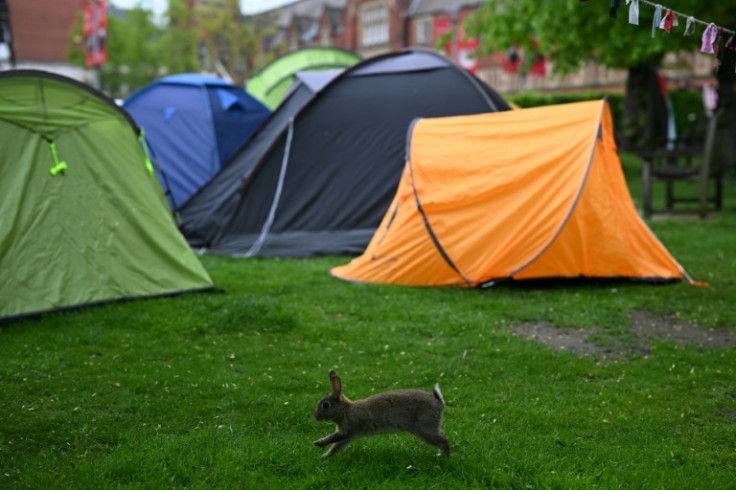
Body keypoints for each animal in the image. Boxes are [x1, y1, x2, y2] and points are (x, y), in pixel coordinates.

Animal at [312, 370, 448, 458]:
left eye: (325, 405)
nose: (316, 416)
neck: (345, 410)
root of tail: (439, 403)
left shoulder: (348, 430)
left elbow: (333, 438)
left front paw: (317, 443)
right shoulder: (348, 435)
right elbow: (336, 446)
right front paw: (324, 457)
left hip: (424, 428)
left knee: (442, 439)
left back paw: (443, 456)